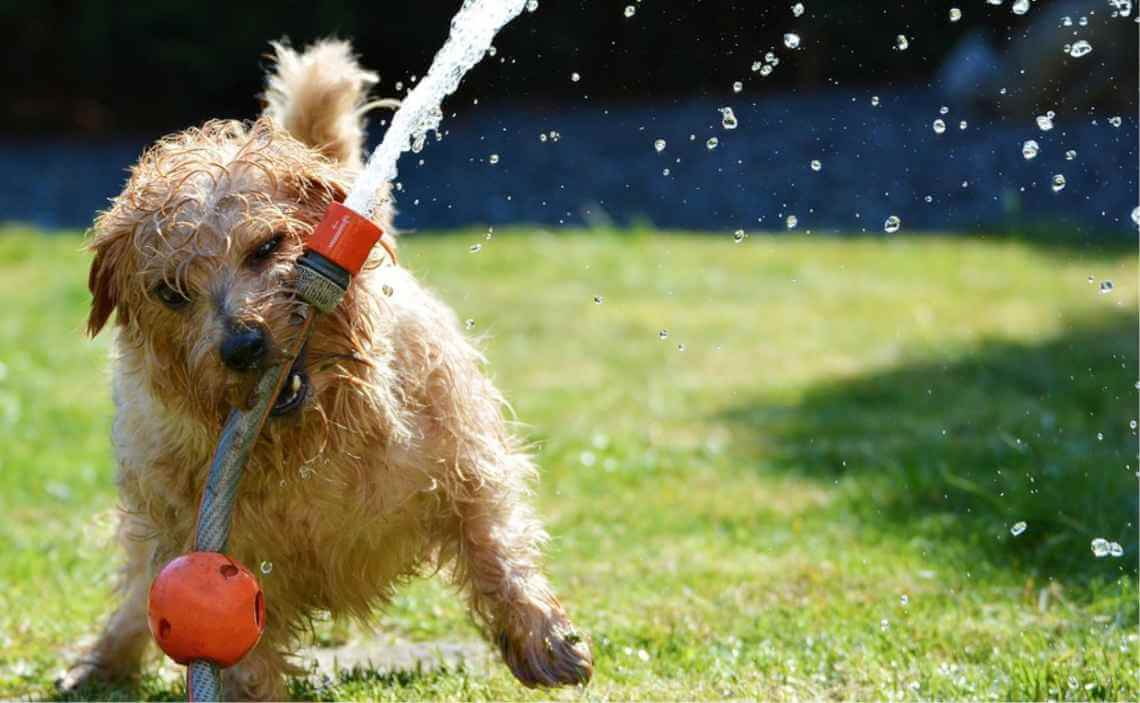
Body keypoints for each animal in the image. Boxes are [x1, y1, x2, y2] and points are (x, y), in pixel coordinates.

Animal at [60, 41, 597, 697]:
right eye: (171, 292)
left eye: (267, 246)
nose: (243, 345)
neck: (312, 441)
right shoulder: (214, 545)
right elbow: (241, 651)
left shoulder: (466, 463)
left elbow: (495, 544)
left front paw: (544, 639)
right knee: (138, 592)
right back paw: (100, 662)